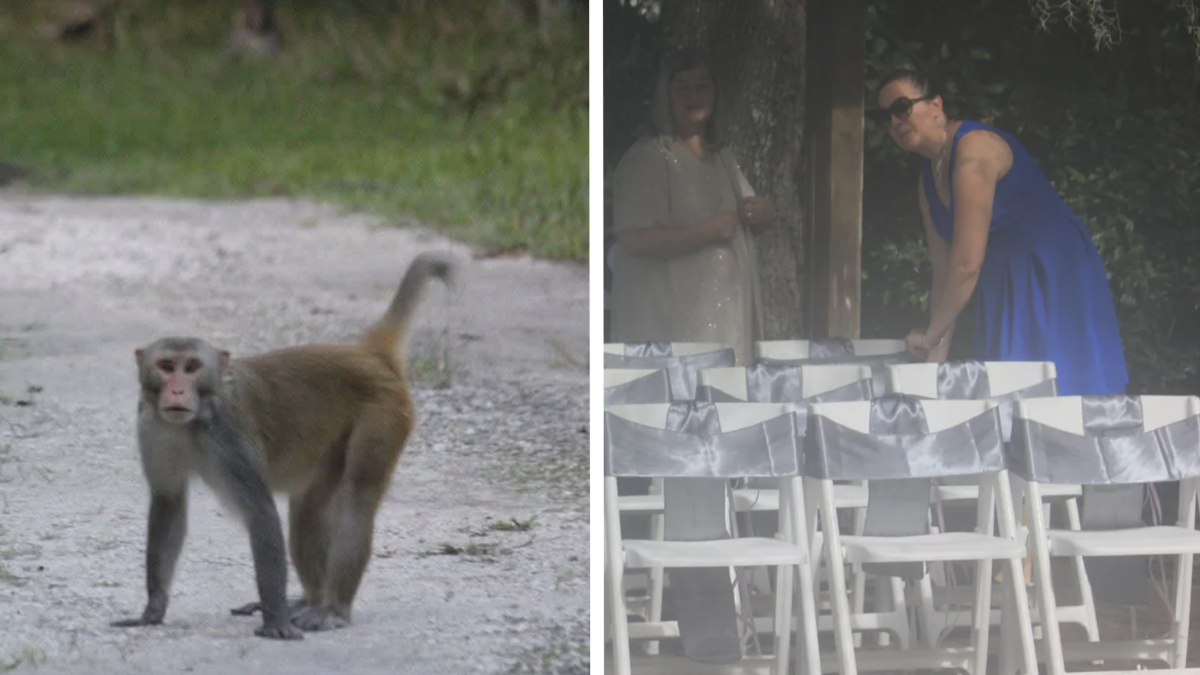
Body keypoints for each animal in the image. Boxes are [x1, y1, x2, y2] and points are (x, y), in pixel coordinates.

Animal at [111, 252, 457, 640]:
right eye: (167, 365)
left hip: (384, 412)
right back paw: (309, 600)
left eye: (192, 367)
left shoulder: (227, 439)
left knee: (358, 494)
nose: (176, 390)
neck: (194, 422)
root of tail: (368, 355)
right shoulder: (151, 429)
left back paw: (333, 608)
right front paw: (153, 609)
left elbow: (261, 513)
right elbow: (168, 503)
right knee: (308, 507)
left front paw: (275, 621)